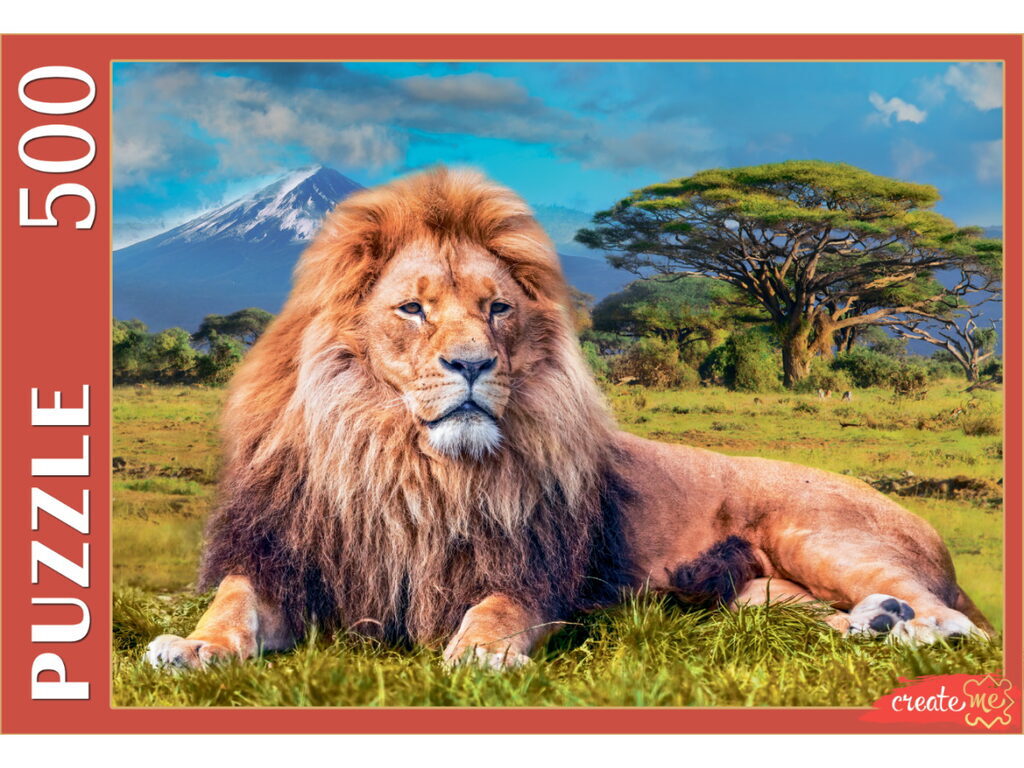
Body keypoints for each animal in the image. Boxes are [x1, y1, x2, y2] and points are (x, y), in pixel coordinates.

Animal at [146, 167, 991, 671]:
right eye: (413, 308)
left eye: (497, 309)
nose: (473, 364)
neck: (407, 466)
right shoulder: (281, 558)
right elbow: (232, 606)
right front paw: (189, 647)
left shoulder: (526, 572)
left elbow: (495, 612)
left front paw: (482, 656)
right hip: (757, 596)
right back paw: (874, 626)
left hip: (819, 536)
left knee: (962, 626)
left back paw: (912, 628)